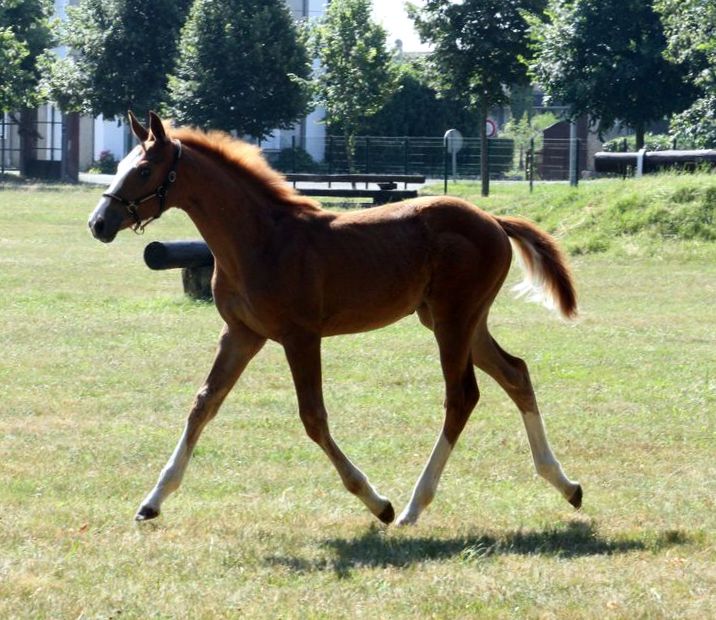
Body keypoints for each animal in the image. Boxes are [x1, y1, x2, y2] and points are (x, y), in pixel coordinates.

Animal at [89, 114, 580, 524]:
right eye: (124, 165)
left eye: (143, 171)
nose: (99, 223)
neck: (260, 239)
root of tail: (493, 219)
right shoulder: (242, 334)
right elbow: (203, 404)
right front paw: (152, 501)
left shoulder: (300, 336)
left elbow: (313, 417)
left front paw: (377, 502)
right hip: (459, 320)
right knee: (516, 373)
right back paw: (565, 484)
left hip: (452, 320)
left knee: (461, 397)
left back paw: (413, 507)